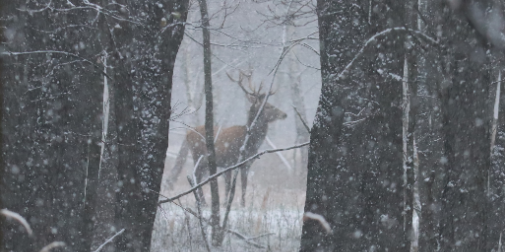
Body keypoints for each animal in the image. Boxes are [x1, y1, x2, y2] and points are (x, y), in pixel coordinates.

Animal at [166, 71, 288, 207]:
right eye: (267, 106)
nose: (284, 114)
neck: (249, 143)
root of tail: (187, 133)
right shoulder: (230, 162)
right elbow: (232, 185)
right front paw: (230, 204)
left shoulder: (245, 164)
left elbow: (242, 185)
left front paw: (237, 205)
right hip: (198, 155)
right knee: (196, 176)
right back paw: (203, 203)